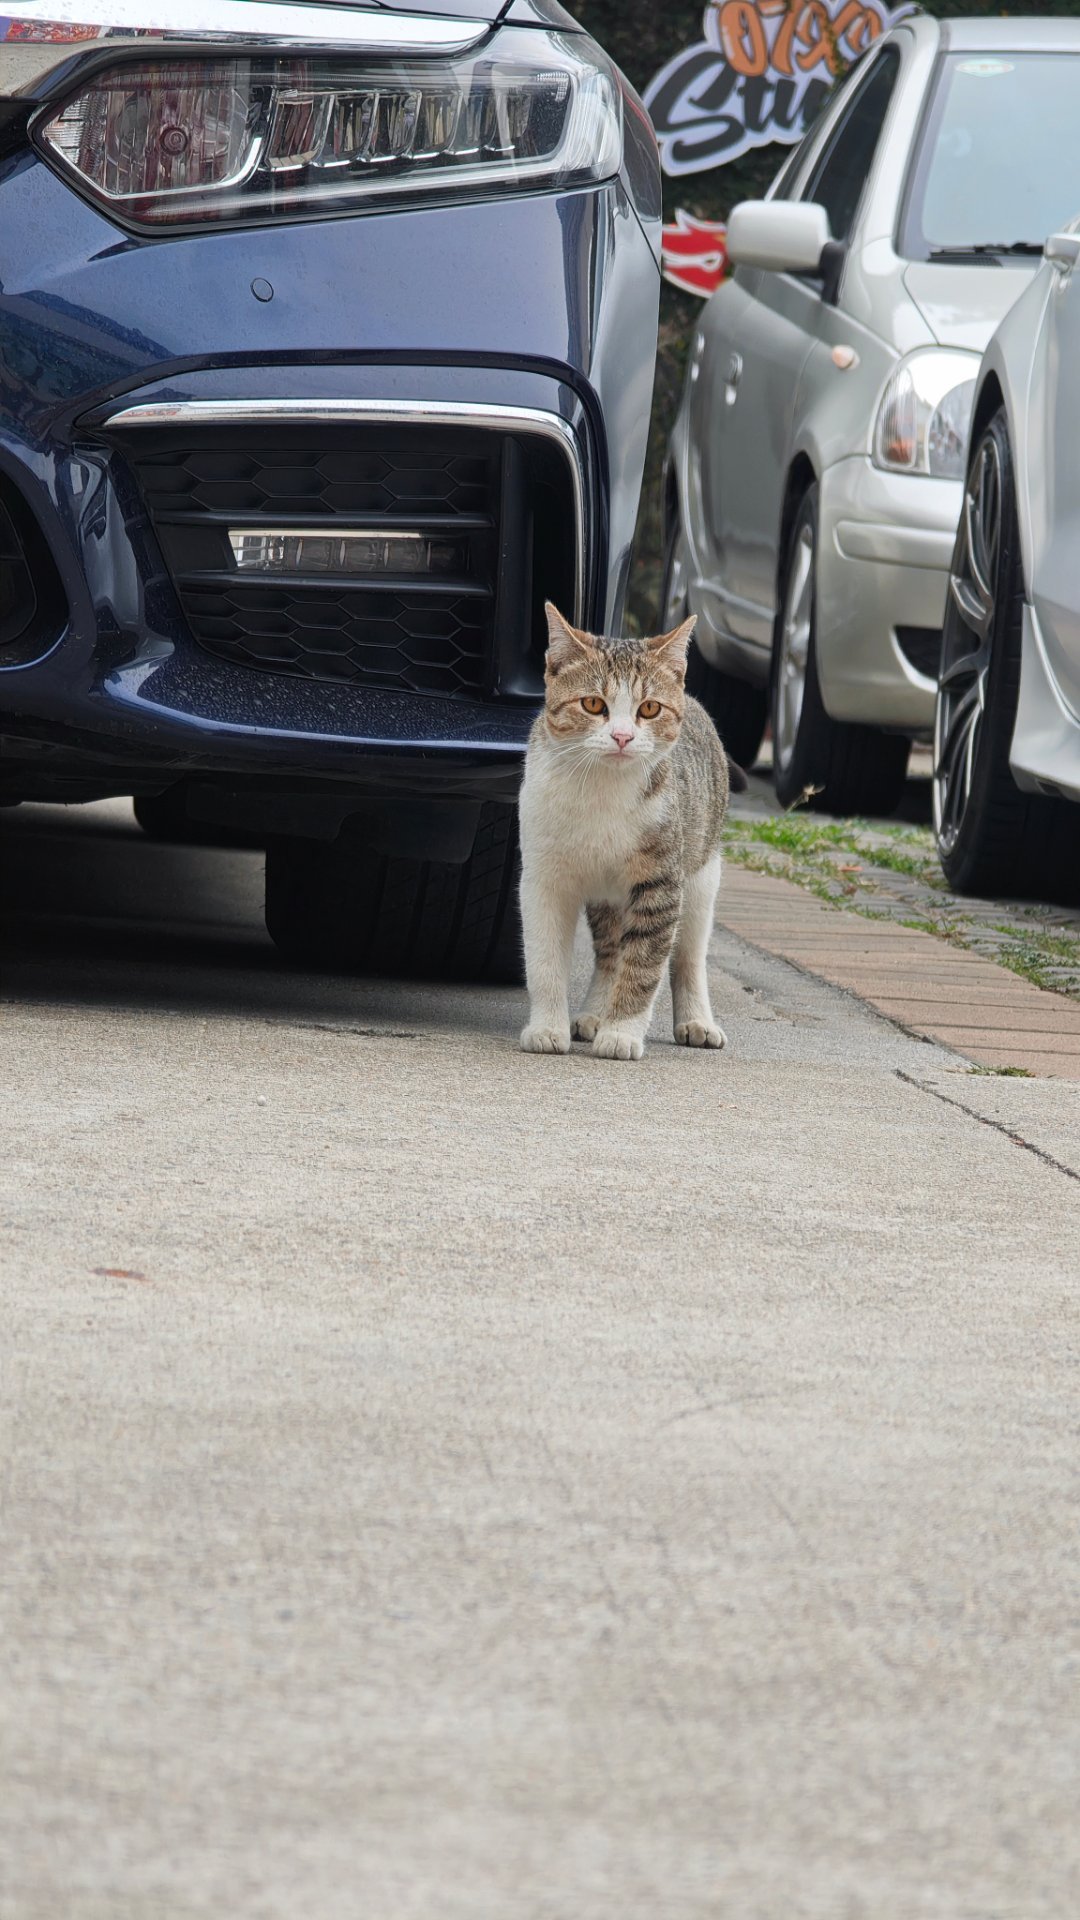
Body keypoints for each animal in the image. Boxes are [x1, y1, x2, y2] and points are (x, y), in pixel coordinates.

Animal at [518, 602, 734, 1067]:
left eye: (649, 709)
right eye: (593, 704)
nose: (621, 736)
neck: (600, 791)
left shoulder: (660, 883)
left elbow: (645, 966)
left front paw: (621, 1033)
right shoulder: (544, 878)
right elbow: (544, 960)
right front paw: (547, 1027)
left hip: (702, 872)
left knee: (689, 955)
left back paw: (696, 1020)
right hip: (607, 898)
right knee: (611, 950)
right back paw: (594, 1011)